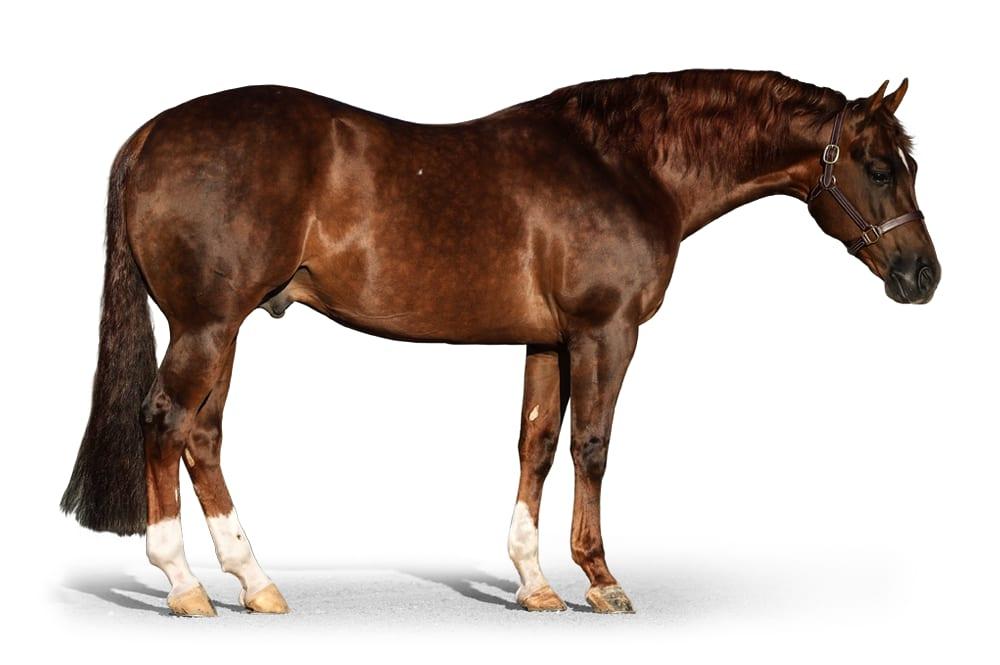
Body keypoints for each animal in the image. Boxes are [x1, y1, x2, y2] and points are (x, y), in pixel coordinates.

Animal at [60, 69, 939, 616]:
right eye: (877, 167)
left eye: (910, 165)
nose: (923, 275)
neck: (625, 166)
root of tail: (151, 133)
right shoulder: (605, 331)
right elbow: (591, 446)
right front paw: (601, 579)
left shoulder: (547, 341)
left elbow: (537, 445)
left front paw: (534, 582)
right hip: (207, 325)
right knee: (164, 421)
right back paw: (184, 585)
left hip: (223, 327)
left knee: (203, 435)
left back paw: (256, 581)